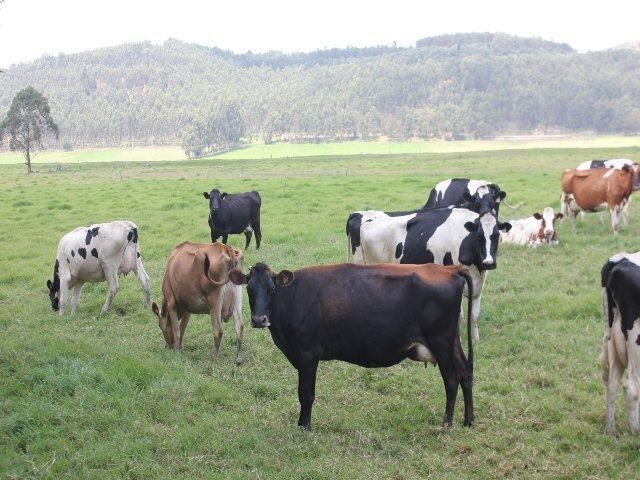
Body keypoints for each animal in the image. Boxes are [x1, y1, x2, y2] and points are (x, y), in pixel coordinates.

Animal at [230, 262, 476, 432]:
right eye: (250, 290)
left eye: (272, 289)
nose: (259, 319)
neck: (292, 297)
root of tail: (448, 269)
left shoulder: (308, 354)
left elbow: (306, 394)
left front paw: (304, 426)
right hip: (452, 341)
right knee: (465, 374)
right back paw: (468, 420)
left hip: (441, 340)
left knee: (451, 380)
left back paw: (446, 425)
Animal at [350, 206, 510, 342]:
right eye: (479, 237)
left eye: (497, 236)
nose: (489, 263)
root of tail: (360, 214)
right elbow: (458, 316)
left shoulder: (478, 284)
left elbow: (475, 315)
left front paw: (475, 340)